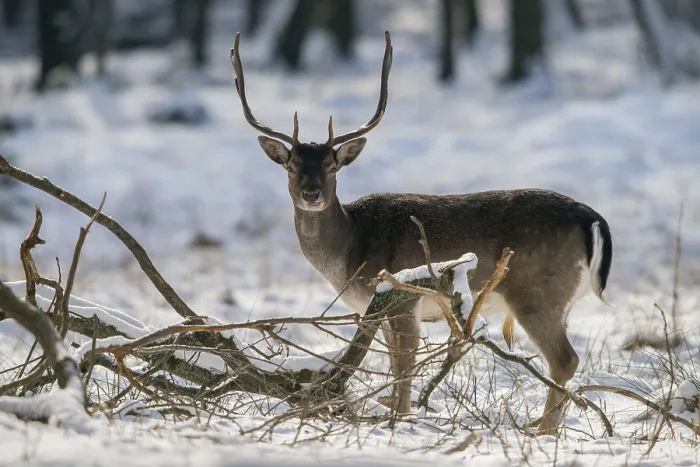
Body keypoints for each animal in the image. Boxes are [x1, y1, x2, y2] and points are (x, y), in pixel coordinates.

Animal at [229, 31, 613, 435]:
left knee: (565, 359)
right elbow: (396, 362)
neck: (352, 251)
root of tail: (591, 218)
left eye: (333, 167)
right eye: (291, 165)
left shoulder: (401, 297)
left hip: (537, 291)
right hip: (559, 298)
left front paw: (398, 421)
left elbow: (404, 365)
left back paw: (543, 433)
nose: (312, 193)